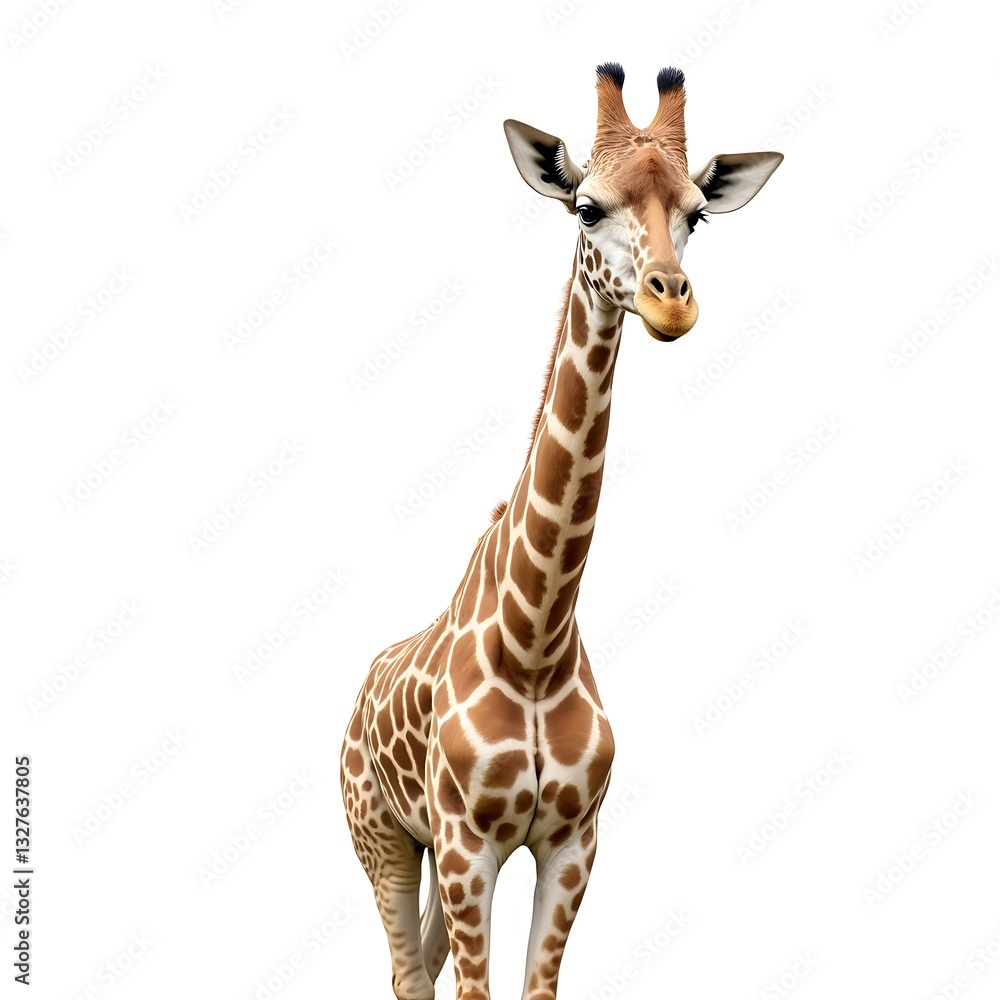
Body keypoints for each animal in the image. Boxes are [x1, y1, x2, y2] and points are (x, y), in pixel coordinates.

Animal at [340, 62, 782, 1000]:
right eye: (585, 206)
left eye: (696, 213)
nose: (670, 303)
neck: (535, 640)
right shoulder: (469, 841)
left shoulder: (572, 841)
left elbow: (535, 987)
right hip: (381, 835)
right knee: (406, 972)